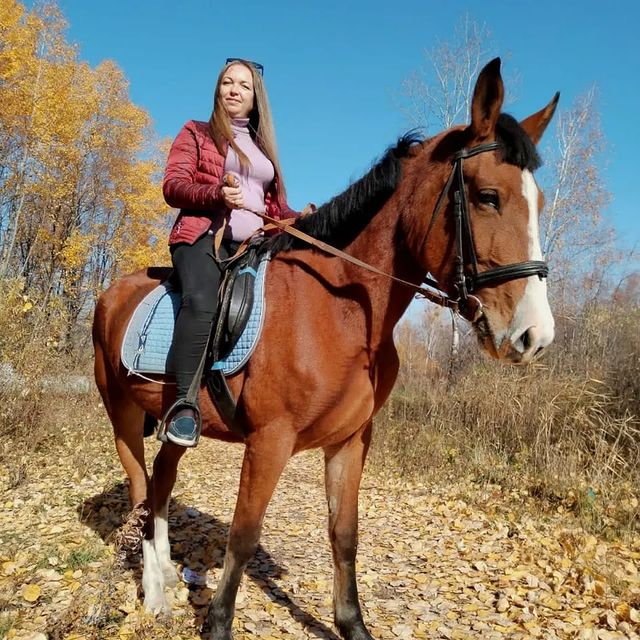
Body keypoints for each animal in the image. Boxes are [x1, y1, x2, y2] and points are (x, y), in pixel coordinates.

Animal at [92, 58, 558, 640]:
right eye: (488, 196)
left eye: (539, 203)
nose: (534, 336)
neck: (340, 312)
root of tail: (112, 293)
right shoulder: (269, 442)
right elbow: (243, 537)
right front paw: (217, 625)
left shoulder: (351, 441)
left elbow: (344, 534)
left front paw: (351, 624)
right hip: (122, 413)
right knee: (139, 486)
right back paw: (154, 593)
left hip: (175, 421)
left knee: (160, 484)